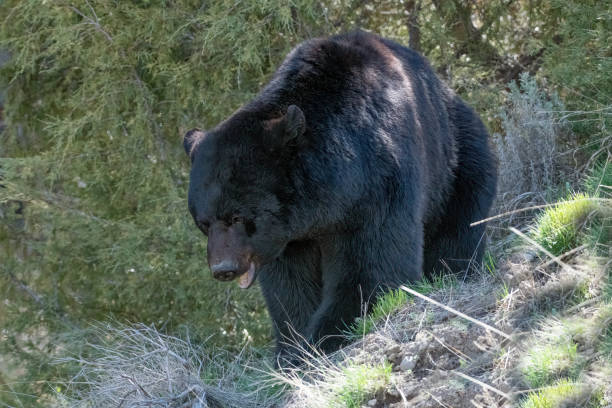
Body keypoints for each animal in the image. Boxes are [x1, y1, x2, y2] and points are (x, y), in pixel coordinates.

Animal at [182, 31, 498, 364]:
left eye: (239, 216)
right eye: (203, 222)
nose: (223, 269)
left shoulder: (377, 181)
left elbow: (372, 263)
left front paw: (326, 335)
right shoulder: (288, 234)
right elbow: (289, 284)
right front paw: (293, 346)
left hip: (457, 159)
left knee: (459, 225)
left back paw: (451, 274)